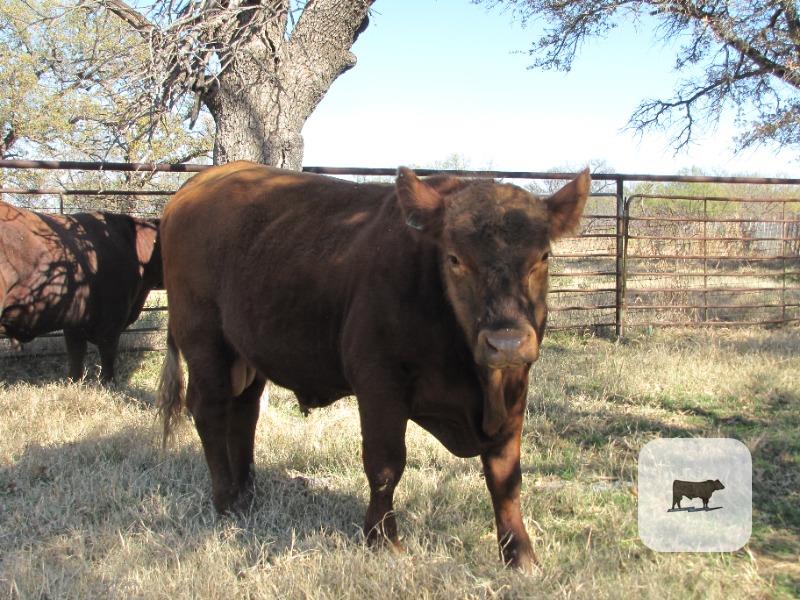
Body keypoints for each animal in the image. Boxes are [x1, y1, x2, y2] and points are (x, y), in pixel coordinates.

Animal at [0, 201, 162, 383]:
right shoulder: (113, 320)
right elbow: (108, 355)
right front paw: (109, 382)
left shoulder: (74, 322)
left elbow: (76, 357)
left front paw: (73, 382)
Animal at [157, 161, 589, 570]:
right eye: (454, 259)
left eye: (543, 257)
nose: (507, 342)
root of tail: (197, 185)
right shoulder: (379, 382)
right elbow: (385, 465)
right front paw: (383, 540)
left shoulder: (516, 388)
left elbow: (506, 476)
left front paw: (520, 555)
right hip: (204, 338)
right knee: (210, 410)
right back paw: (227, 500)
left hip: (246, 352)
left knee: (245, 412)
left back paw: (248, 492)